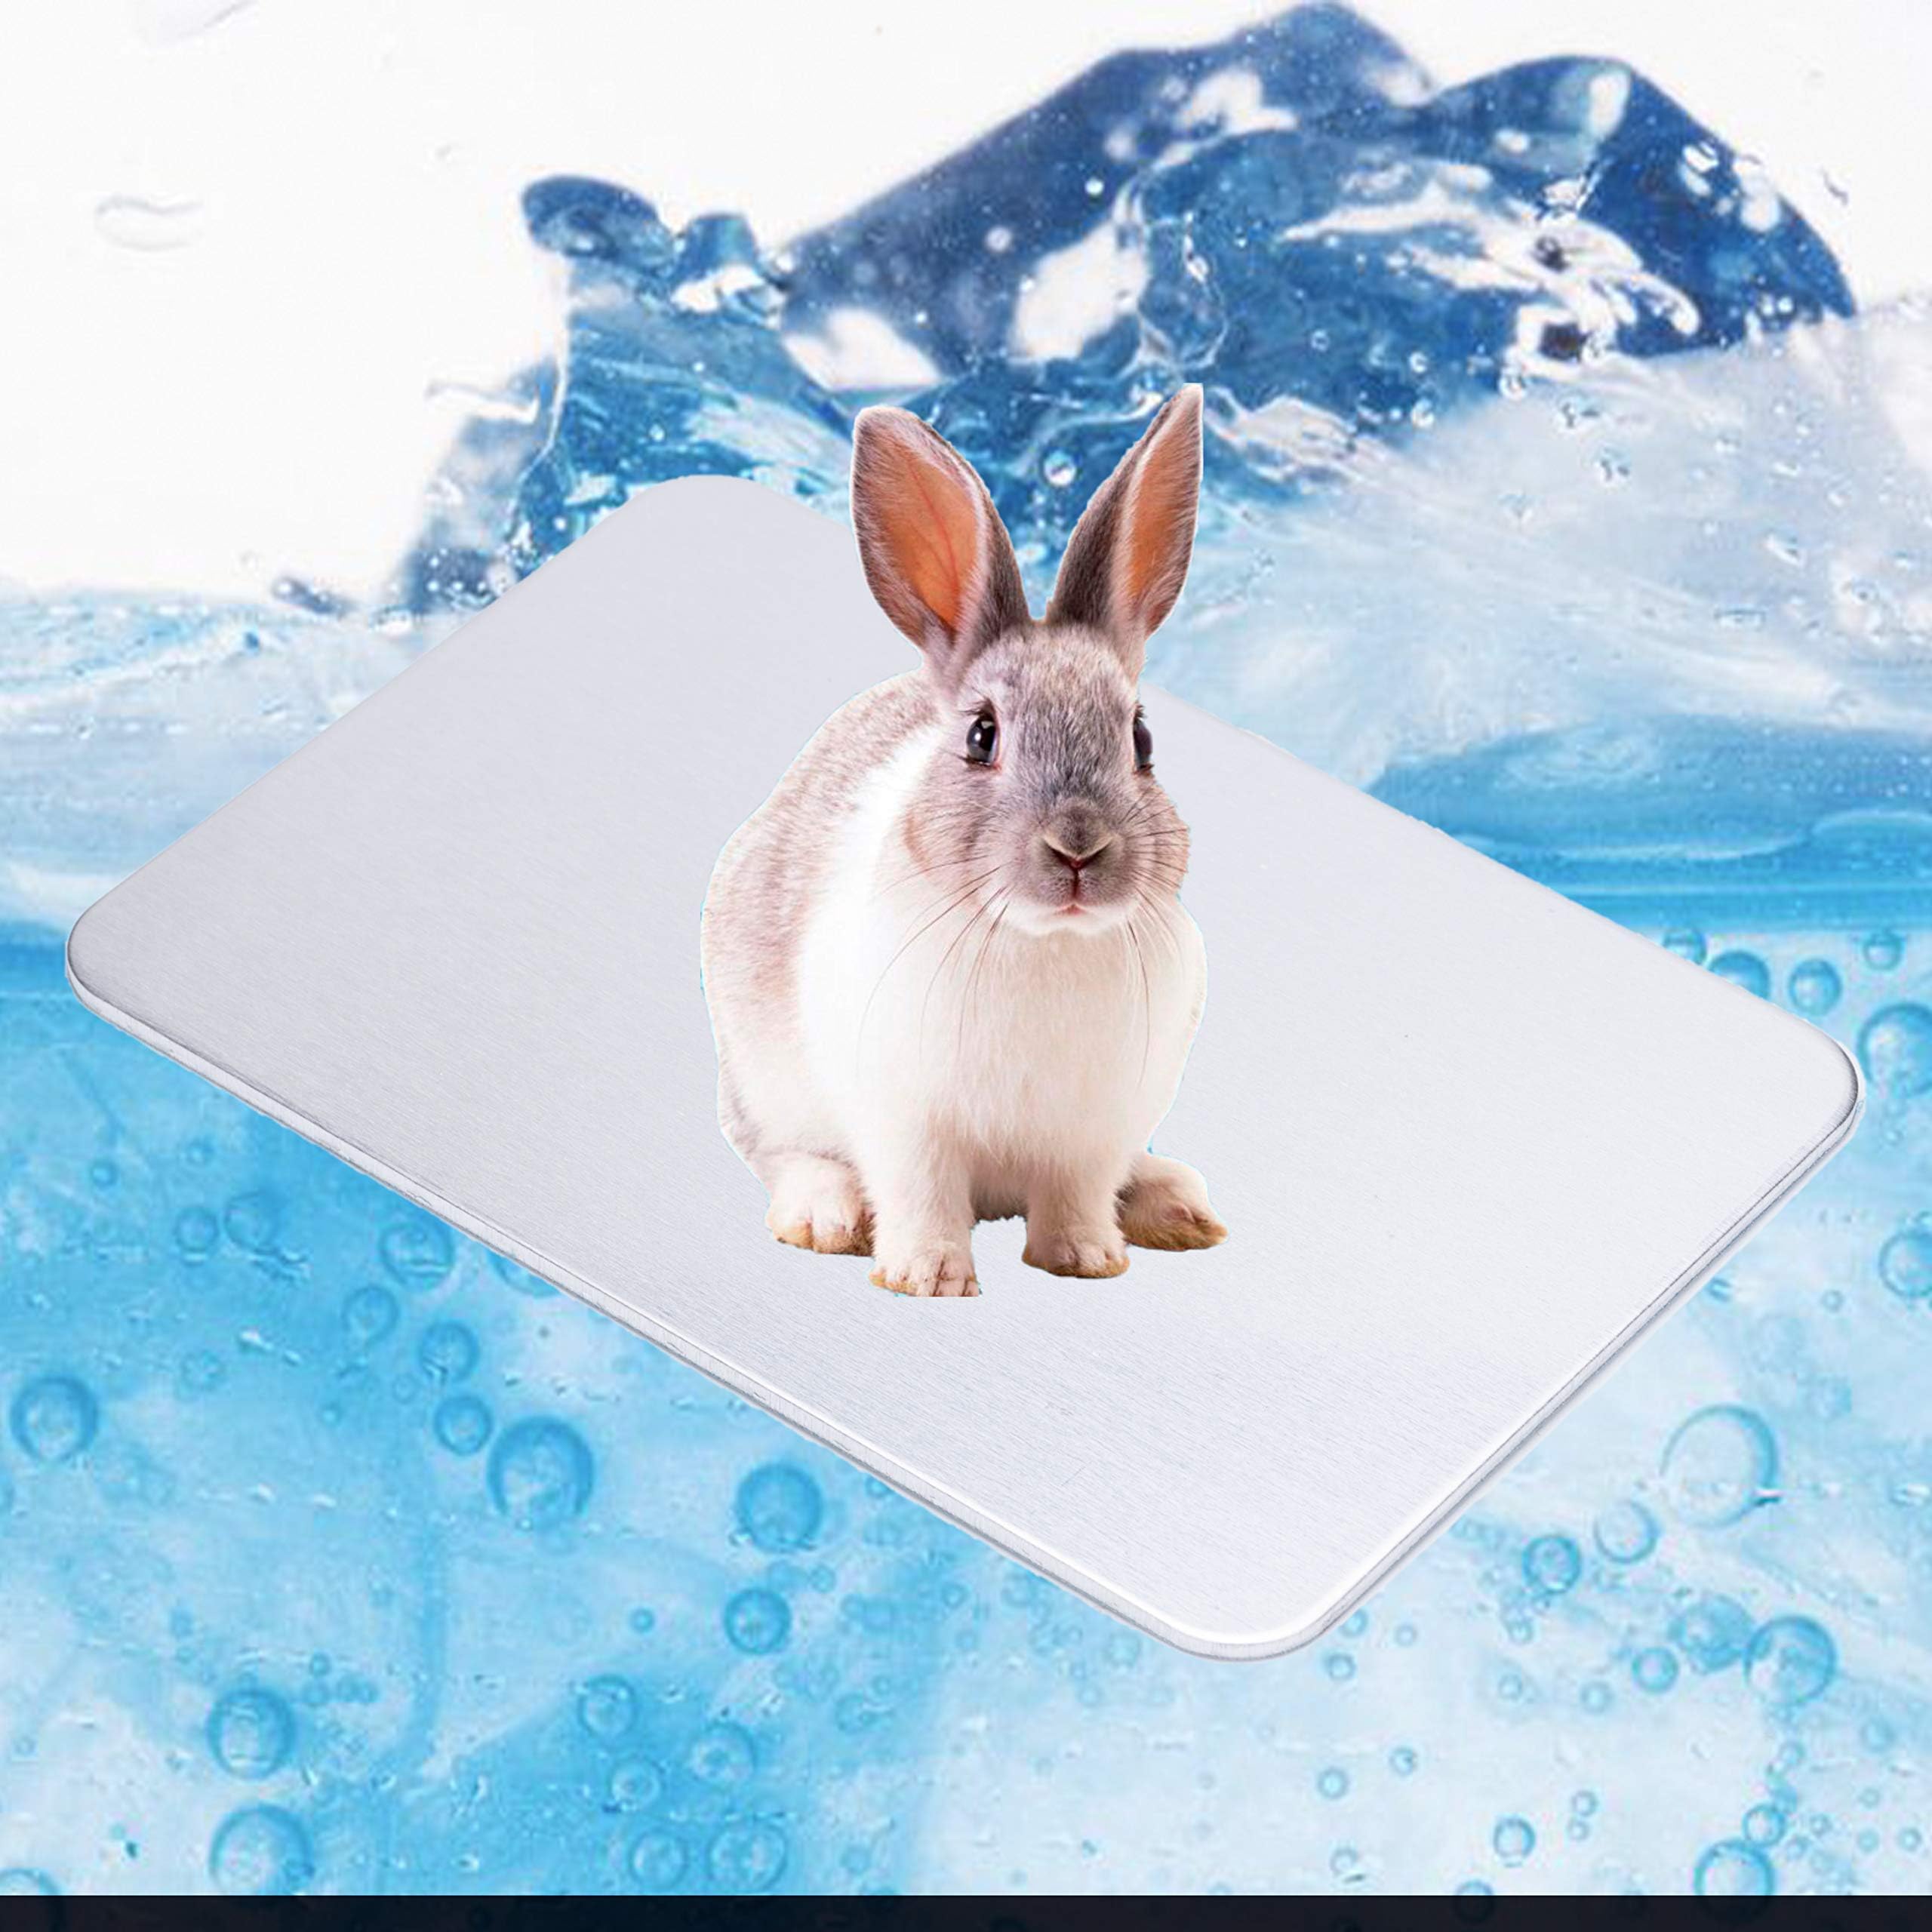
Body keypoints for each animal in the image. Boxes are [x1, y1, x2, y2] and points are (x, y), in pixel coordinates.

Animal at [701, 386, 1225, 1297]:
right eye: (982, 736)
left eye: (1141, 739)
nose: (1078, 849)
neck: (1044, 941)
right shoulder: (905, 1120)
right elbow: (921, 1193)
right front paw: (927, 1278)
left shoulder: (1091, 1132)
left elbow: (1077, 1196)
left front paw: (1087, 1261)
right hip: (763, 1079)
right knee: (777, 1150)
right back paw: (824, 1215)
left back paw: (1174, 1206)